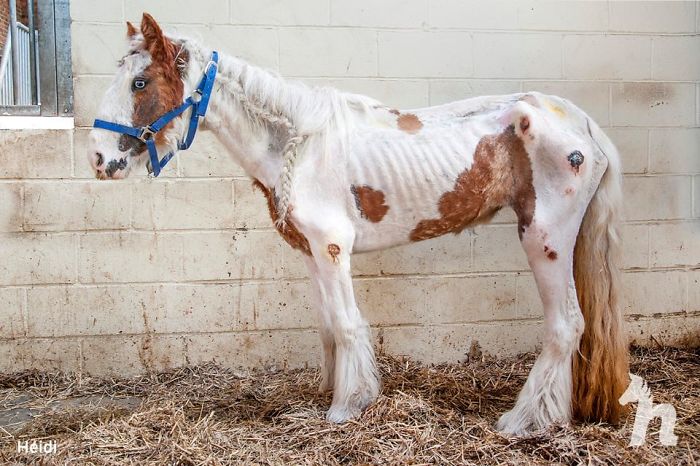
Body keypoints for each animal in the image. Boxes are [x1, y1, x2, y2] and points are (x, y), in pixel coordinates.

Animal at [88, 13, 630, 435]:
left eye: (139, 83)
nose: (97, 158)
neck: (299, 144)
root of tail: (582, 123)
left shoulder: (332, 249)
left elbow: (348, 324)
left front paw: (347, 407)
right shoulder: (310, 253)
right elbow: (328, 326)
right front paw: (327, 392)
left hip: (544, 238)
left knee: (566, 325)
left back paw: (525, 421)